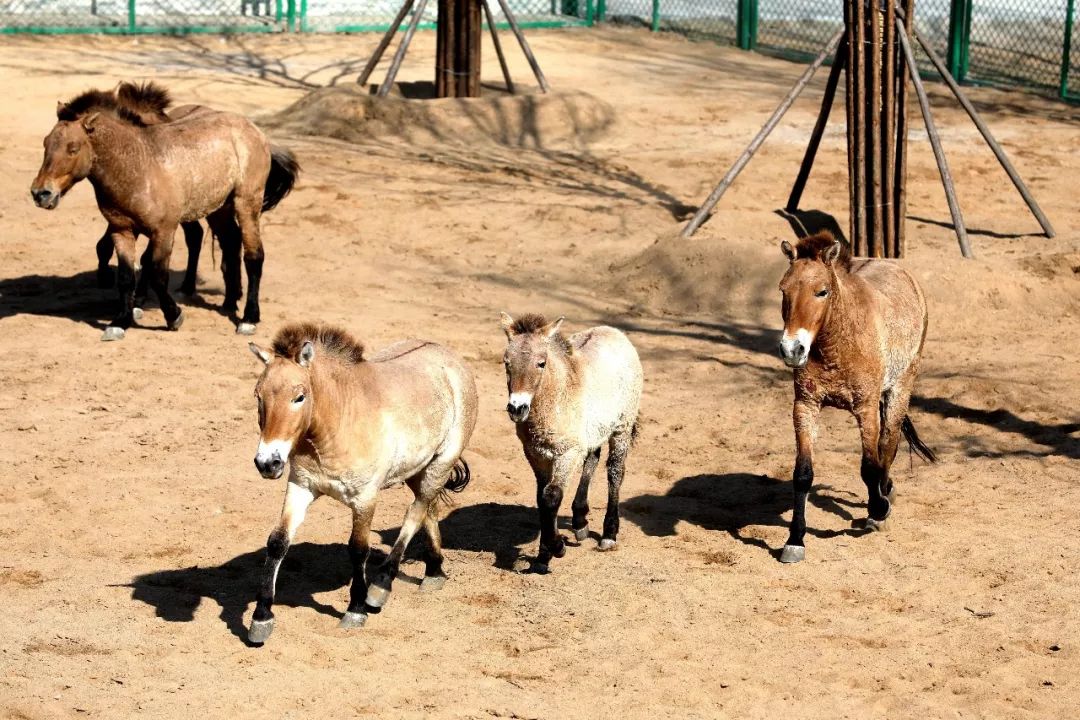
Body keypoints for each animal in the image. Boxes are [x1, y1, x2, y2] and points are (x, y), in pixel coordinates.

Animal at [31, 83, 300, 343]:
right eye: (45, 143)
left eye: (73, 148)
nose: (41, 193)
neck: (139, 166)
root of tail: (255, 130)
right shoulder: (122, 230)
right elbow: (126, 276)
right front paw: (120, 322)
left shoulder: (163, 231)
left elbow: (157, 274)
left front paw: (173, 316)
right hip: (219, 208)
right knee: (230, 243)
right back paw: (229, 301)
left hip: (247, 203)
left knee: (254, 256)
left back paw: (248, 318)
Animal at [250, 323, 479, 643]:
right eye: (258, 396)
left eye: (299, 397)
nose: (267, 462)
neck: (336, 426)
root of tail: (452, 360)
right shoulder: (301, 486)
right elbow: (277, 542)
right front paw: (261, 617)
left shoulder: (365, 498)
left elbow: (358, 548)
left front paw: (356, 609)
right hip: (419, 469)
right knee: (428, 509)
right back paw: (434, 571)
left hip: (442, 462)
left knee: (415, 512)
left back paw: (381, 586)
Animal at [498, 313, 639, 569]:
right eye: (506, 362)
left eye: (541, 363)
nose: (517, 408)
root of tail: (614, 332)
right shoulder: (535, 454)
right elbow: (541, 499)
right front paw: (544, 555)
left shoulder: (568, 452)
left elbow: (552, 496)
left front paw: (556, 548)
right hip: (594, 431)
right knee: (592, 460)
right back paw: (580, 521)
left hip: (622, 427)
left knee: (615, 472)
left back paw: (608, 535)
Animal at [777, 231, 937, 561]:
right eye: (783, 290)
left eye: (822, 292)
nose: (792, 350)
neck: (836, 344)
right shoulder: (805, 406)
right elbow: (803, 473)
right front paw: (795, 540)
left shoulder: (865, 408)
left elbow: (869, 466)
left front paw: (878, 510)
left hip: (900, 388)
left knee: (888, 445)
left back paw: (884, 499)